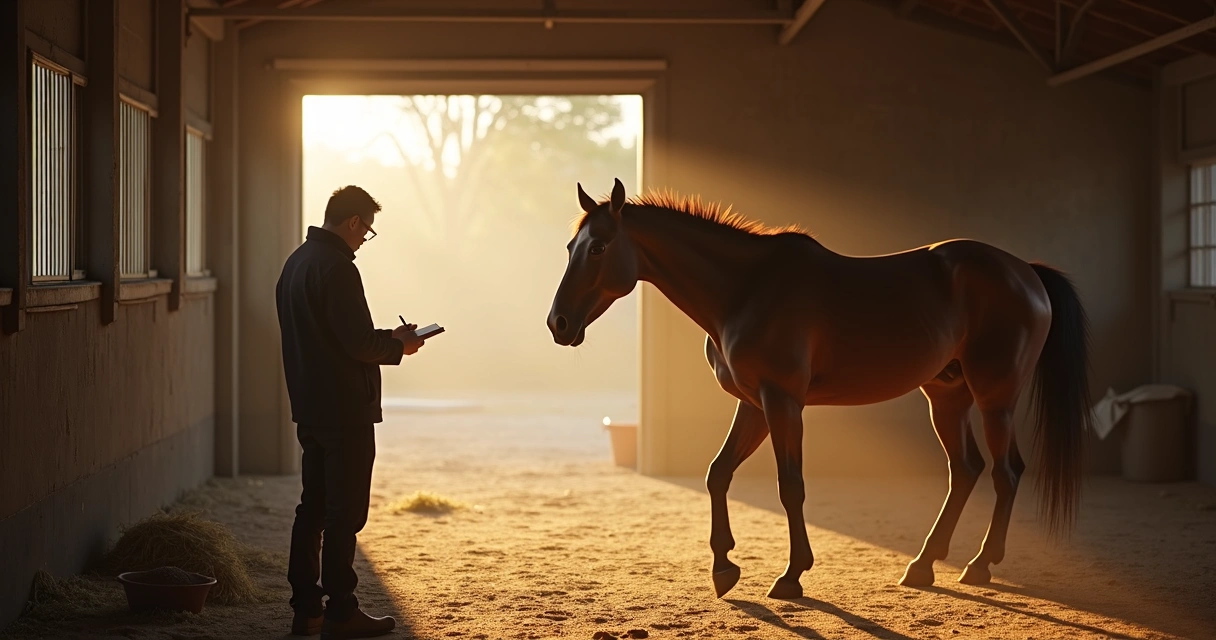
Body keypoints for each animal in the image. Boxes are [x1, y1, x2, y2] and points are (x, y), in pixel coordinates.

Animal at [546, 178, 1092, 600]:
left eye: (598, 248)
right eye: (571, 248)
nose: (558, 323)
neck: (745, 289)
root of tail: (1025, 272)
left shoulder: (783, 402)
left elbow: (791, 486)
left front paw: (791, 576)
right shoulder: (754, 405)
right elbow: (717, 474)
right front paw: (724, 568)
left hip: (994, 396)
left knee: (1005, 471)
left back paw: (979, 565)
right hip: (946, 396)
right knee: (966, 470)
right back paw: (922, 566)